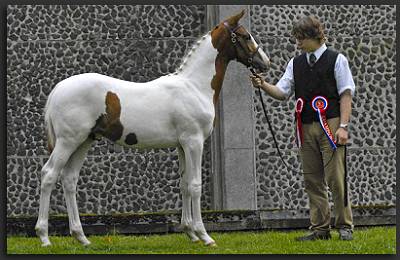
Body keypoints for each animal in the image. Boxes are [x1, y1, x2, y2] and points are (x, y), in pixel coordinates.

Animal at [36, 9, 270, 246]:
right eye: (246, 36)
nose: (265, 63)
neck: (194, 86)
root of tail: (58, 89)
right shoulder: (194, 142)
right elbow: (195, 185)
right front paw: (204, 235)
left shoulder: (182, 145)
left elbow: (184, 183)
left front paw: (190, 232)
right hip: (68, 141)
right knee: (49, 174)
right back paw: (44, 236)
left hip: (84, 141)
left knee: (69, 179)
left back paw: (81, 237)